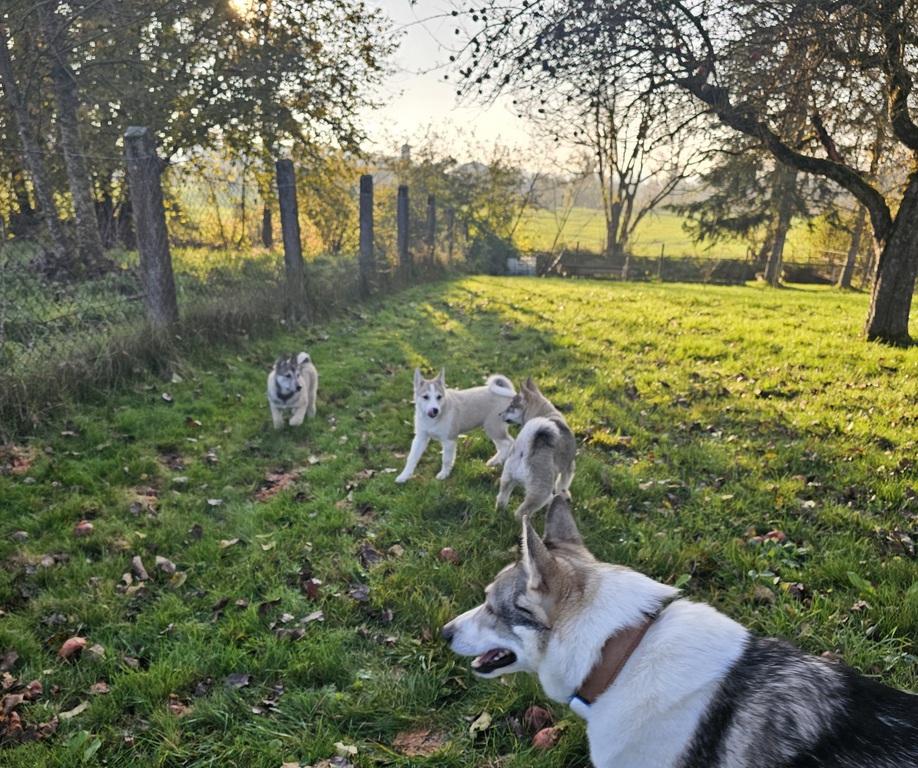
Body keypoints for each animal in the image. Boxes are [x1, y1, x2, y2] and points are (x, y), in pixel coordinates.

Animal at [496, 378, 576, 520]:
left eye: (511, 407)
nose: (499, 414)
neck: (547, 415)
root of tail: (525, 450)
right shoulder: (568, 466)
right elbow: (563, 484)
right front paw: (564, 494)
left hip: (507, 478)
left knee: (501, 499)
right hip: (540, 491)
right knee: (521, 512)